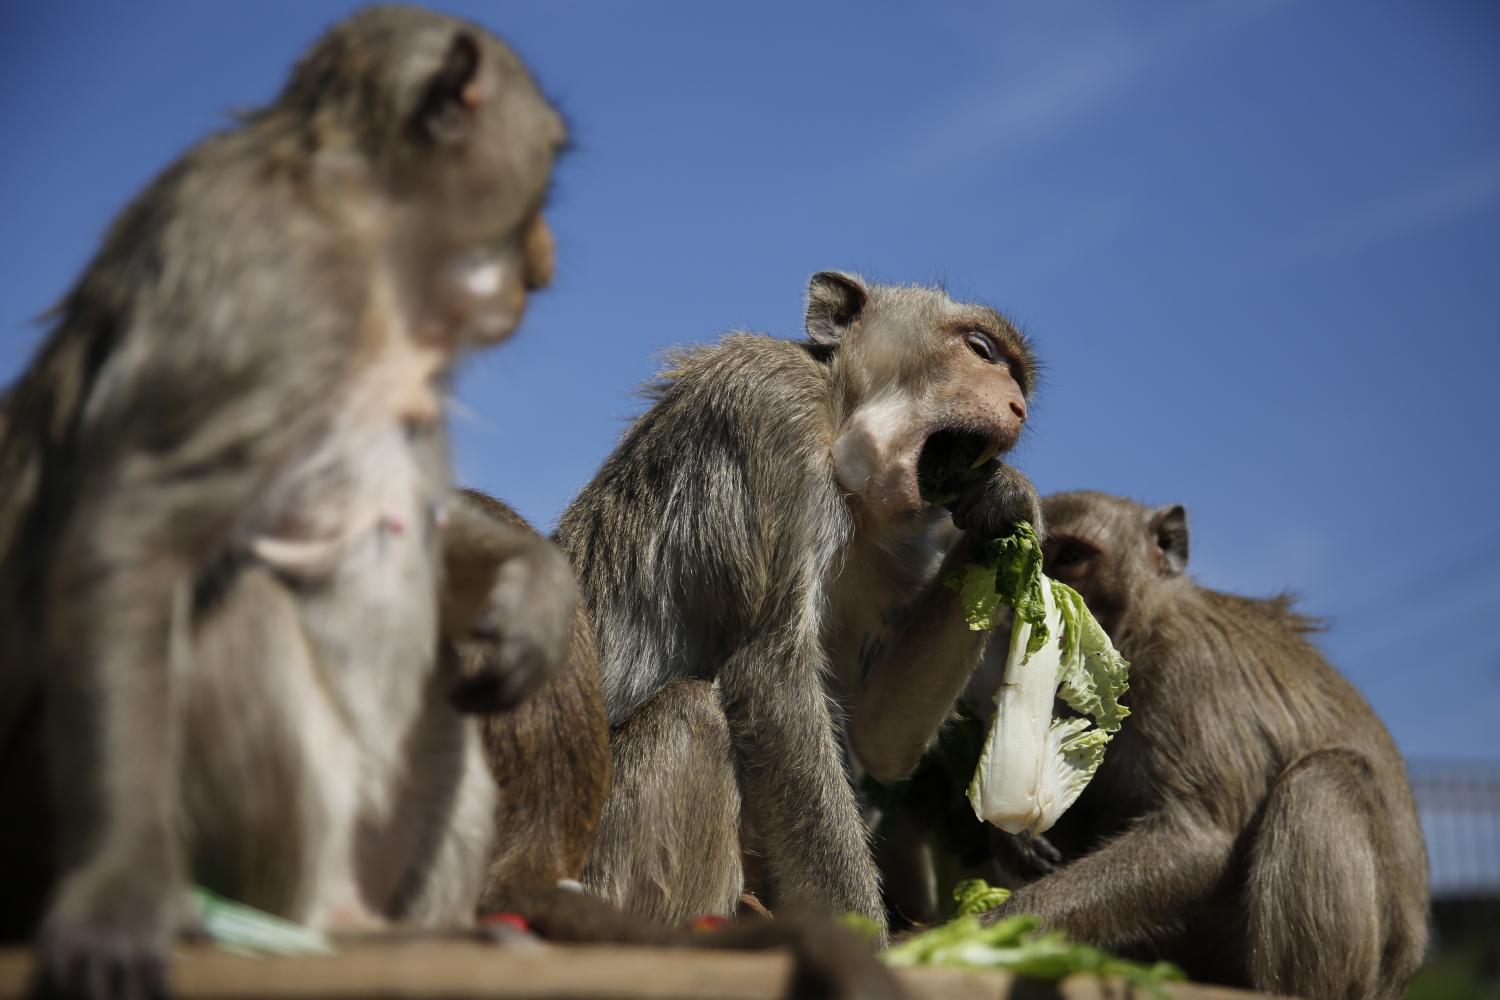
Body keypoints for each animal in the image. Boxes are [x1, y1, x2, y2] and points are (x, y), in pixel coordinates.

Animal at [0, 9, 573, 1000]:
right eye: (543, 162)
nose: (545, 257)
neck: (363, 224)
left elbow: (431, 529)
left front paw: (536, 593)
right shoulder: (269, 297)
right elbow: (130, 528)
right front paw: (119, 890)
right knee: (244, 610)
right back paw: (322, 931)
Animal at [564, 268, 1044, 941]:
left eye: (1018, 378)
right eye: (980, 350)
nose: (1017, 406)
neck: (838, 416)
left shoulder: (894, 547)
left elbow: (881, 734)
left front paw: (1006, 506)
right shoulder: (772, 410)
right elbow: (774, 680)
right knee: (690, 718)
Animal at [972, 491, 1428, 1000]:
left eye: (1071, 556)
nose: (1031, 605)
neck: (1143, 629)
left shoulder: (1188, 669)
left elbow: (1198, 839)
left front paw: (990, 931)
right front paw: (1013, 846)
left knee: (1322, 779)